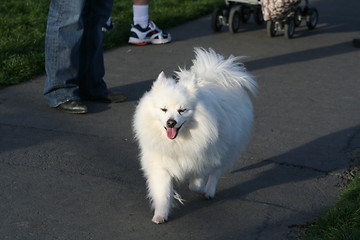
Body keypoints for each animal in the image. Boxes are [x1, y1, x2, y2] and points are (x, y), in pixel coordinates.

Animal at [134, 47, 258, 224]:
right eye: (163, 109)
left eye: (182, 110)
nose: (171, 122)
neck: (178, 142)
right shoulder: (160, 164)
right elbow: (162, 192)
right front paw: (160, 215)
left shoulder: (201, 158)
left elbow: (196, 182)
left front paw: (201, 189)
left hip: (225, 148)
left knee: (216, 171)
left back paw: (209, 191)